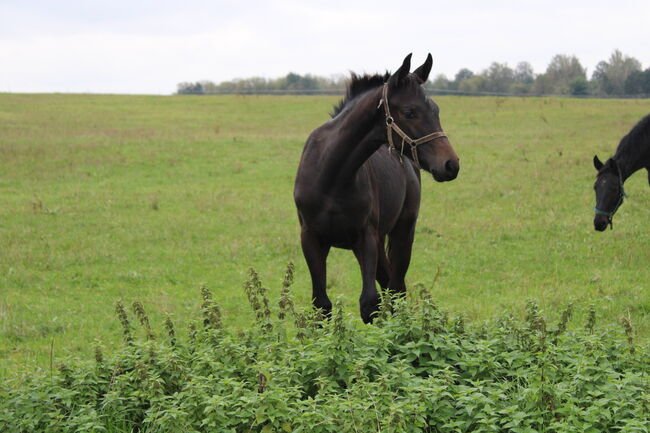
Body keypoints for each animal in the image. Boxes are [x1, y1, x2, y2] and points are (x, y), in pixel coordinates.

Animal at [292, 54, 458, 320]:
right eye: (410, 112)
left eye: (436, 109)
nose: (451, 164)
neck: (332, 178)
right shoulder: (311, 237)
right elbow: (321, 304)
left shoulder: (365, 236)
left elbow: (370, 303)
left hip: (403, 231)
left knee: (397, 288)